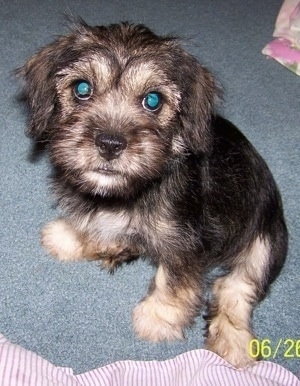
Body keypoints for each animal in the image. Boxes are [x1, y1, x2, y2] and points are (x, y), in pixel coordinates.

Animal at [17, 20, 288, 368]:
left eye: (153, 100)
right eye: (82, 89)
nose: (110, 144)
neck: (130, 192)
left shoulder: (184, 242)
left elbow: (172, 280)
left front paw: (159, 317)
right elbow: (93, 222)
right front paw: (67, 237)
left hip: (266, 242)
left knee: (236, 285)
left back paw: (235, 344)